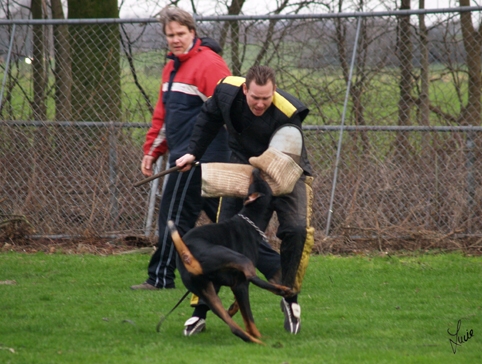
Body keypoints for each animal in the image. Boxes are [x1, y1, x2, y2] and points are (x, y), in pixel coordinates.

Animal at [169, 168, 294, 344]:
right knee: (252, 279)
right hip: (234, 258)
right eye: (258, 181)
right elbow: (248, 314)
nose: (255, 169)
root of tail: (186, 254)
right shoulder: (239, 282)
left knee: (235, 327)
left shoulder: (229, 286)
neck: (250, 222)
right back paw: (283, 293)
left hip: (207, 291)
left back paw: (253, 339)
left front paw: (234, 307)